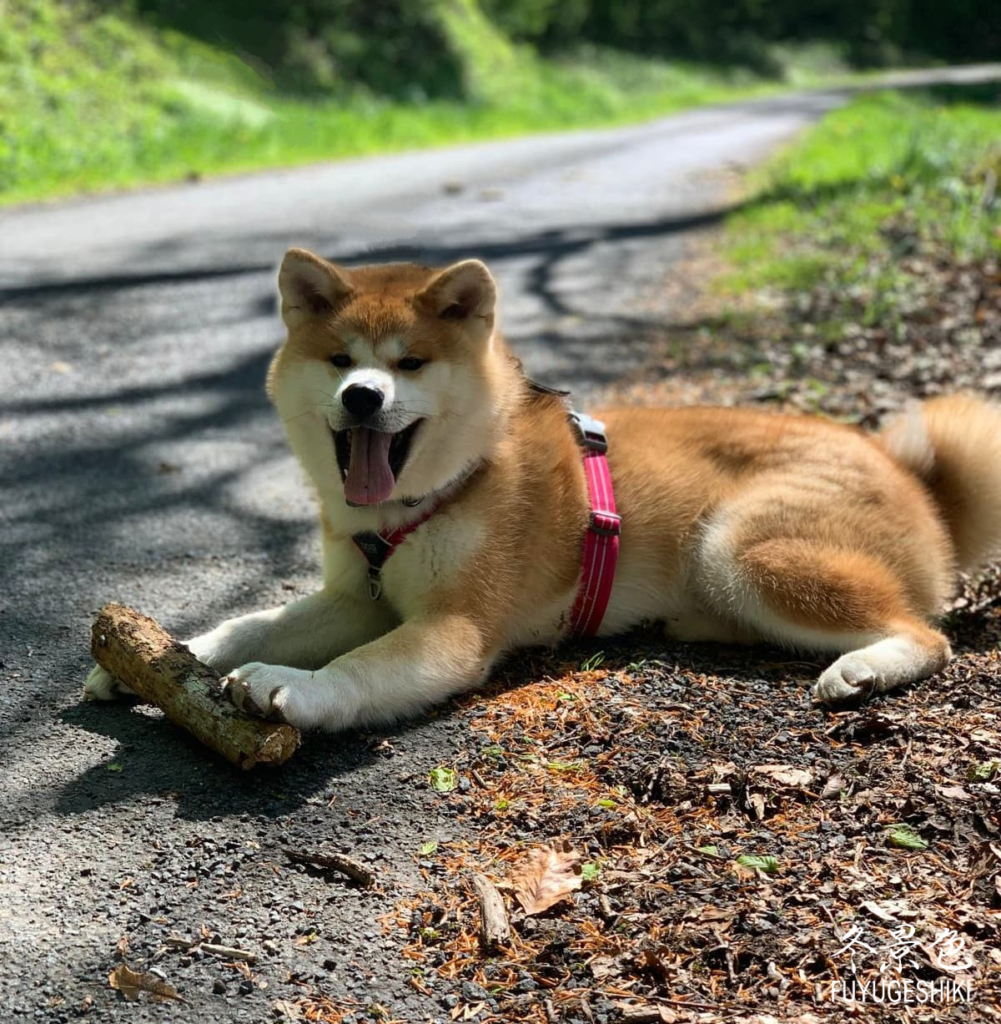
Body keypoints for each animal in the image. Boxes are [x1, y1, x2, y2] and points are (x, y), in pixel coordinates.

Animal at [83, 247, 998, 729]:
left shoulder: (453, 628)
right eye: (341, 359)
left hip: (738, 547)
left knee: (925, 633)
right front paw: (166, 658)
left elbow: (359, 664)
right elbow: (255, 621)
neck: (440, 492)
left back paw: (863, 669)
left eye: (409, 363)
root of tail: (911, 477)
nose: (363, 397)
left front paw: (292, 685)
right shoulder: (356, 593)